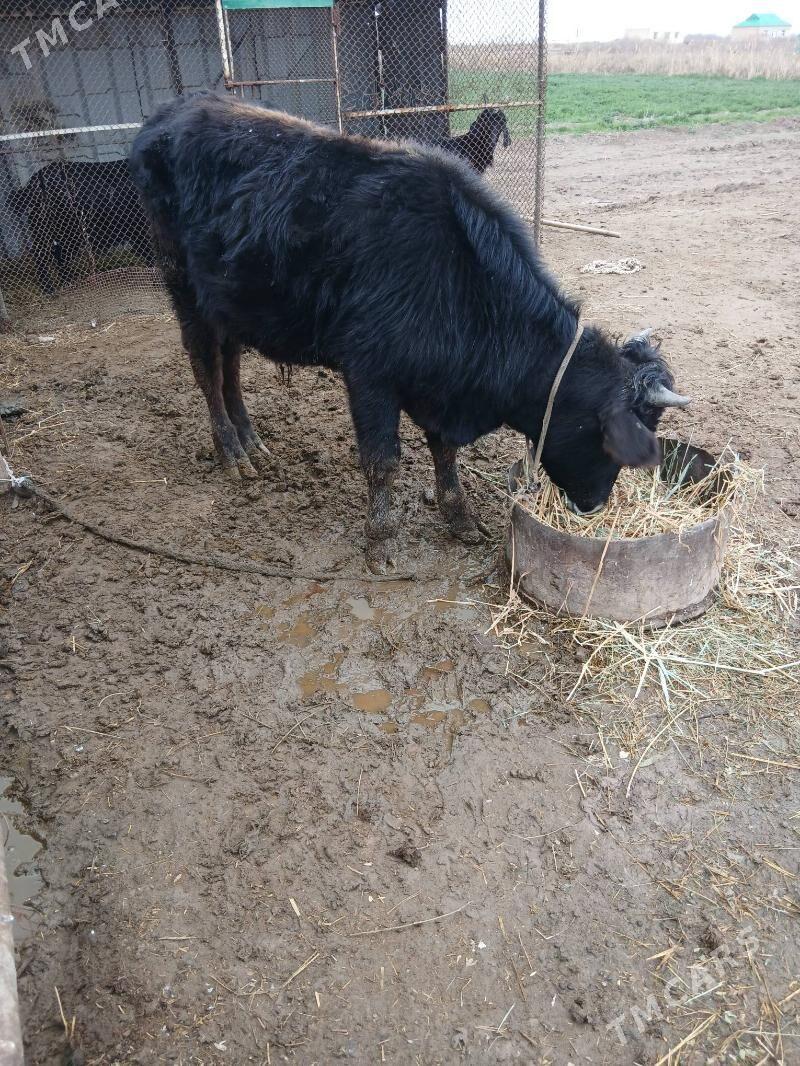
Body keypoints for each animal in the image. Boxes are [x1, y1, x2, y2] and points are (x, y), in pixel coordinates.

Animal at [9, 159, 154, 294]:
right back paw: (50, 291)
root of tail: (30, 185)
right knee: (42, 255)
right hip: (57, 230)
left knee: (57, 256)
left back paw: (68, 284)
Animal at [129, 93, 689, 572]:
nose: (595, 506)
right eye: (619, 436)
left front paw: (459, 517)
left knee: (230, 365)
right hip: (183, 286)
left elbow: (445, 451)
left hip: (228, 303)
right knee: (205, 367)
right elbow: (383, 462)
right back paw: (231, 452)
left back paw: (251, 443)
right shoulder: (369, 375)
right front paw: (382, 542)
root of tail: (174, 111)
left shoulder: (439, 385)